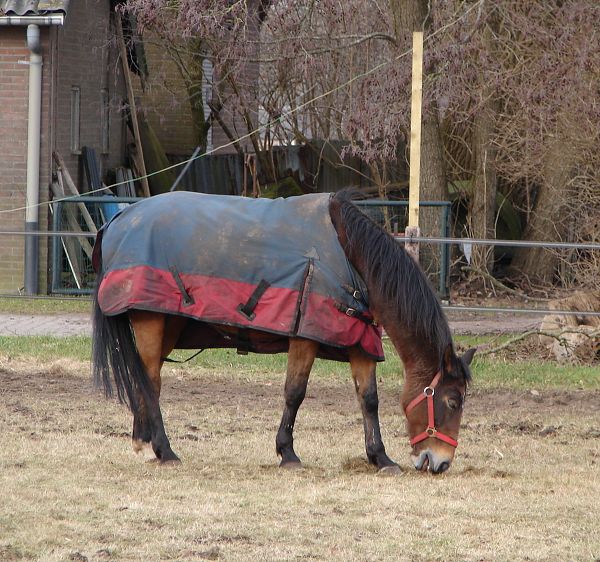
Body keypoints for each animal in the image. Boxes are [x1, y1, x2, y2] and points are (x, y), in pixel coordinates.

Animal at [91, 189, 476, 472]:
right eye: (452, 401)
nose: (440, 463)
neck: (351, 258)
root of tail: (119, 220)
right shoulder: (305, 337)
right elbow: (295, 393)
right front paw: (287, 453)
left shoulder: (359, 342)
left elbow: (369, 400)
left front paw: (380, 457)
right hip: (150, 321)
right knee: (150, 382)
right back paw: (165, 450)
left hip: (167, 323)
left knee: (147, 381)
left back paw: (146, 442)